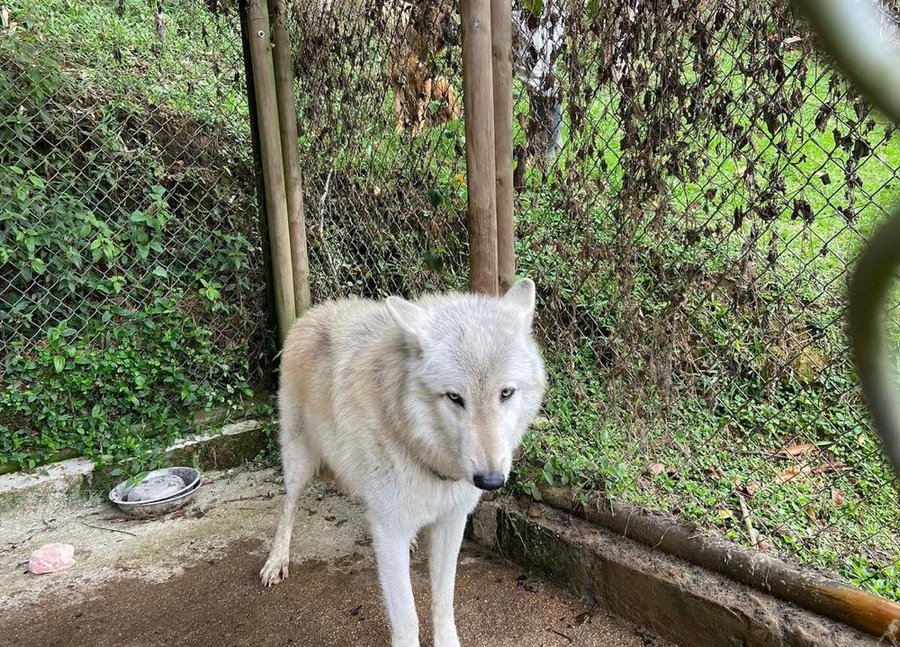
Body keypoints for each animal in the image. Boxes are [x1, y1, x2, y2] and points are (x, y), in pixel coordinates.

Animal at [260, 279, 547, 647]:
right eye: (454, 397)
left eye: (506, 393)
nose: (490, 480)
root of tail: (311, 313)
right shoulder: (389, 531)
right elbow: (408, 618)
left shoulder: (451, 520)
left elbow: (443, 601)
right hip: (299, 461)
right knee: (288, 506)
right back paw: (276, 560)